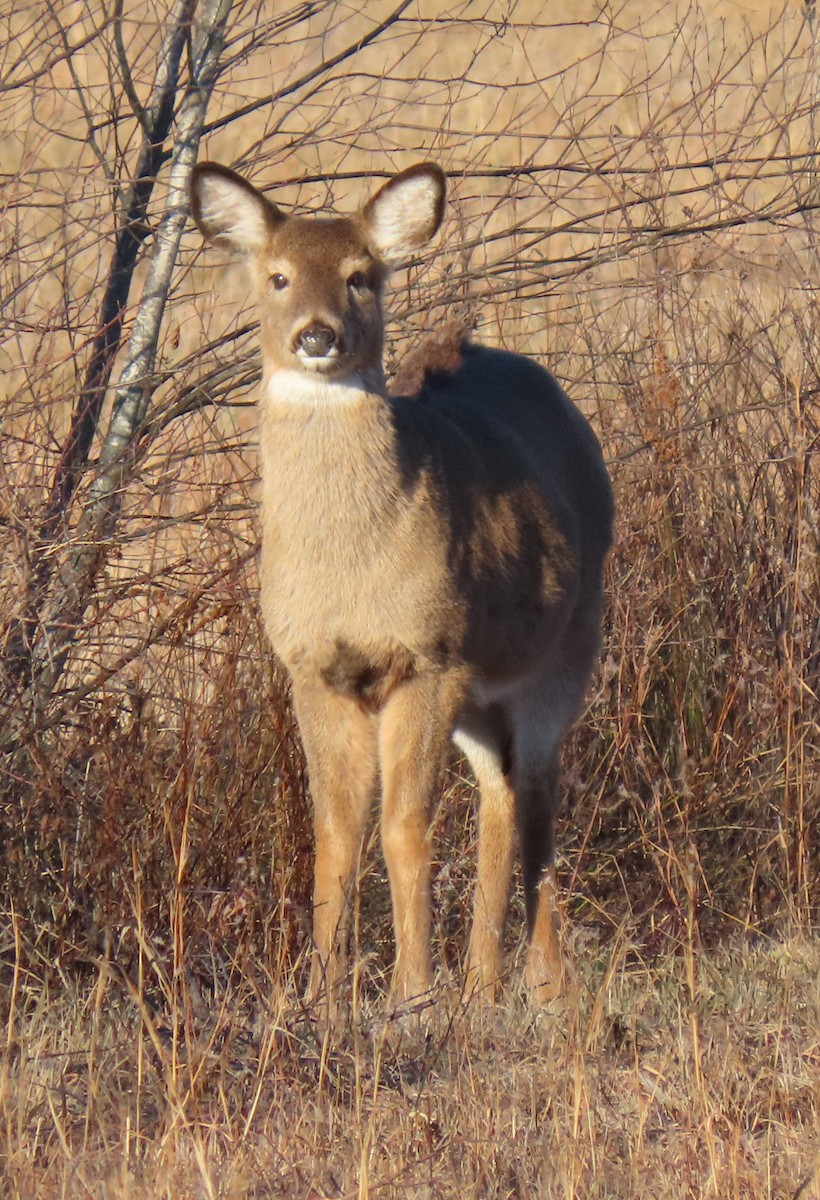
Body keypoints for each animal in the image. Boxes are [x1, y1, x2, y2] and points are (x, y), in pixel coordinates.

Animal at [189, 160, 614, 1017]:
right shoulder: (315, 669)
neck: (353, 569)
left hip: (565, 651)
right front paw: (321, 993)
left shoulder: (427, 654)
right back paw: (483, 982)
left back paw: (543, 980)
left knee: (539, 794)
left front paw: (411, 993)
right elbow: (335, 831)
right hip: (482, 693)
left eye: (363, 275)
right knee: (500, 793)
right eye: (277, 275)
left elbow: (404, 827)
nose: (317, 335)